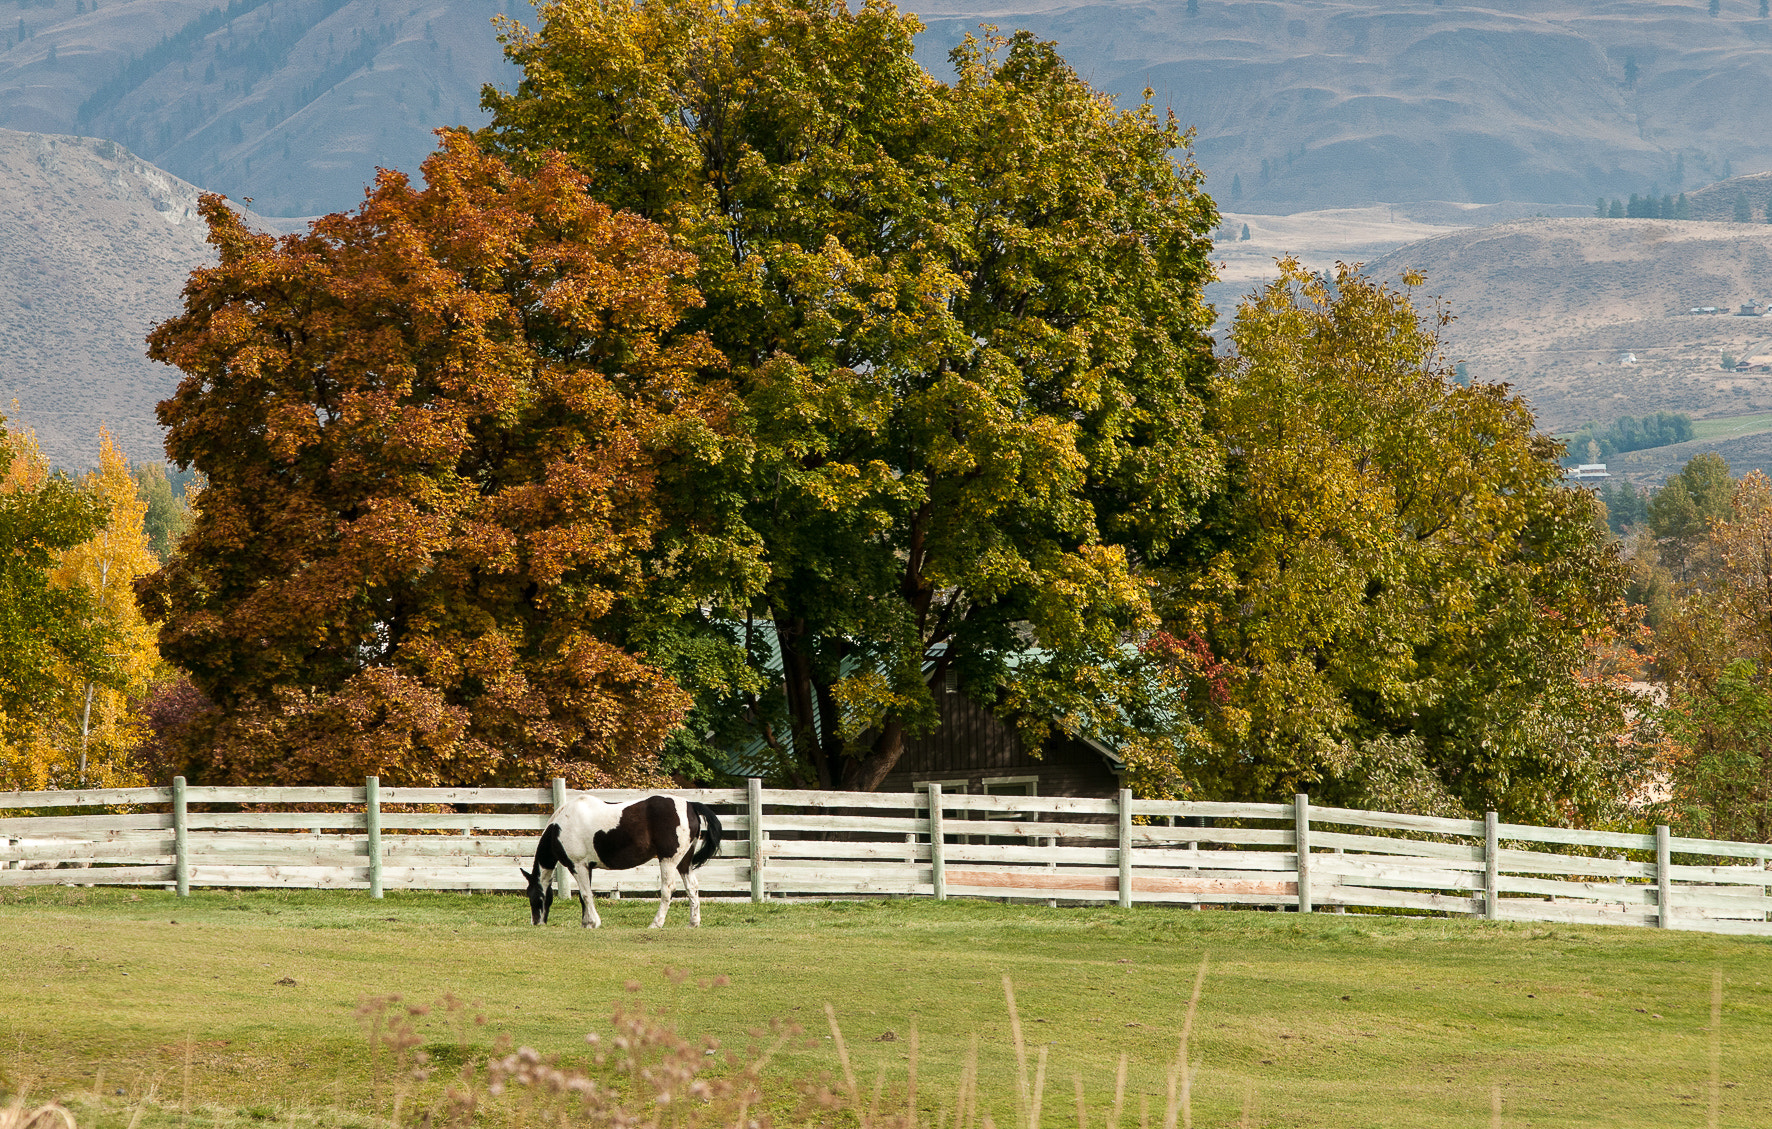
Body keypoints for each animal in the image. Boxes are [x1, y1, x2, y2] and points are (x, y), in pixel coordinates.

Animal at [517, 794, 719, 921]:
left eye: (532, 896)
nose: (537, 923)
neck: (559, 828)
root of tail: (691, 805)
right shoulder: (587, 867)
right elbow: (584, 897)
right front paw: (586, 923)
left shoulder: (578, 866)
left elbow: (586, 895)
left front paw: (593, 922)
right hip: (684, 863)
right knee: (692, 887)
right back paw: (693, 923)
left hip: (668, 861)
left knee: (668, 890)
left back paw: (656, 923)